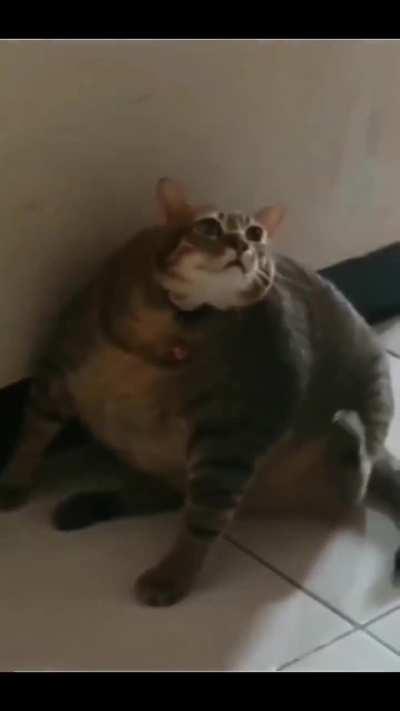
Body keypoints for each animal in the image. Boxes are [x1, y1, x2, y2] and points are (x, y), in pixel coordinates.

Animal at [1, 177, 400, 607]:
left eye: (255, 233)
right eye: (209, 226)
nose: (241, 245)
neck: (178, 325)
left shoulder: (235, 434)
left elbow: (203, 520)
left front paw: (172, 576)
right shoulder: (59, 368)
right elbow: (33, 434)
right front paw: (14, 482)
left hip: (364, 399)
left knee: (354, 481)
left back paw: (348, 432)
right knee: (163, 494)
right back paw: (86, 505)